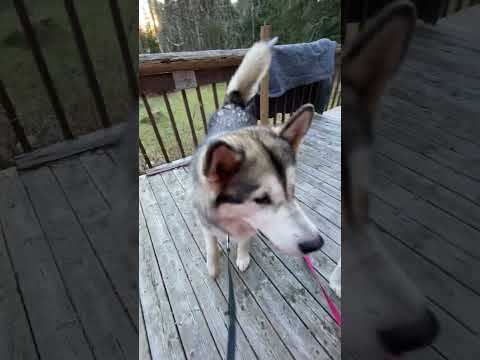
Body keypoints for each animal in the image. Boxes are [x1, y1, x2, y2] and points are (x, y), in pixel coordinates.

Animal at [189, 39, 324, 278]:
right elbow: (210, 243)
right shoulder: (205, 221)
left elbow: (244, 240)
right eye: (262, 199)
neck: (233, 218)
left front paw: (242, 257)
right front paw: (213, 265)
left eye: (292, 189)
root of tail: (233, 103)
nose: (315, 244)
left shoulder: (249, 226)